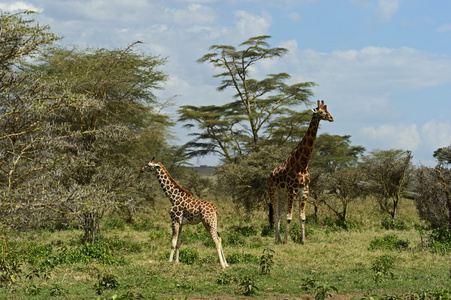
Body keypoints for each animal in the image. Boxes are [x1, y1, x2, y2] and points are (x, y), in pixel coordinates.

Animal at [266, 99, 334, 245]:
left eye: (327, 110)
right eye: (321, 112)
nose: (331, 118)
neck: (302, 164)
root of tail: (269, 175)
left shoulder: (305, 189)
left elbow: (302, 217)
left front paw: (303, 241)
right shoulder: (292, 189)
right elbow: (289, 217)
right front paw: (286, 241)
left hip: (283, 193)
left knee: (278, 213)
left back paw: (277, 239)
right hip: (273, 191)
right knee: (276, 213)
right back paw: (277, 240)